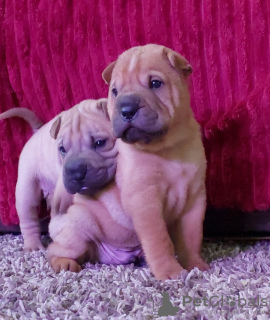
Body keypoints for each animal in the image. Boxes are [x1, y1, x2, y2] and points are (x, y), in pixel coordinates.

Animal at [0, 99, 116, 250]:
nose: (75, 171)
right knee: (28, 218)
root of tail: (36, 132)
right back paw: (33, 245)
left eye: (100, 143)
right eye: (62, 149)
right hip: (27, 190)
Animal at [101, 44, 209, 280]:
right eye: (115, 91)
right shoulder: (145, 201)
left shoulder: (195, 197)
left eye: (155, 83)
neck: (167, 147)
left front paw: (195, 265)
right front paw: (170, 272)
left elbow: (192, 235)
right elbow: (159, 239)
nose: (126, 109)